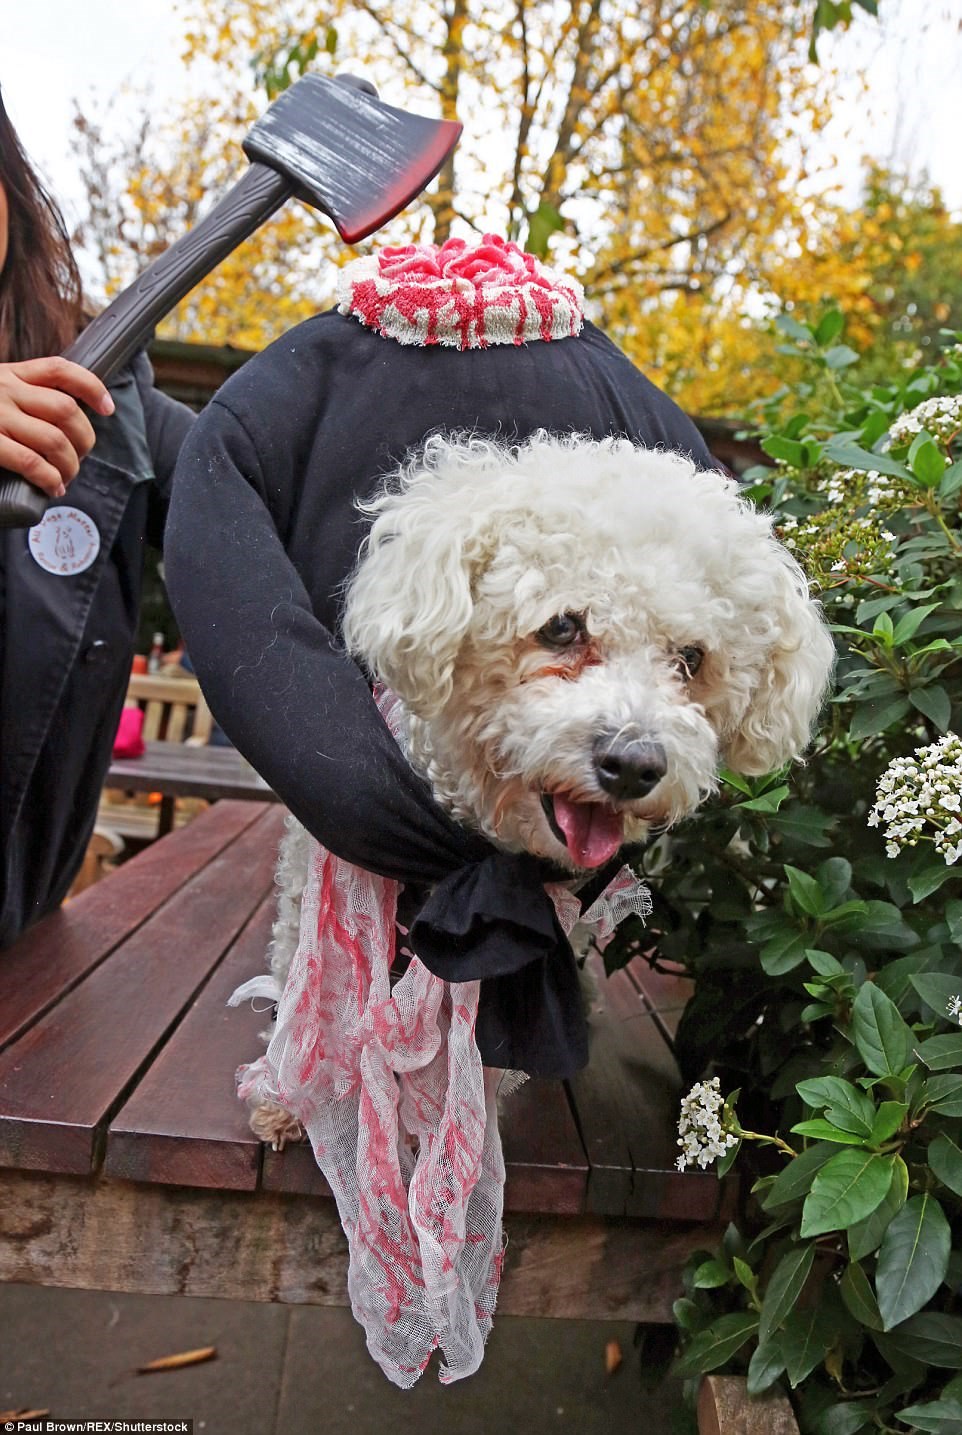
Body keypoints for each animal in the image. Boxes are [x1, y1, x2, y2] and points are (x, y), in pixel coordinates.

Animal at [241, 424, 838, 1142]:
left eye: (691, 659)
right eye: (561, 626)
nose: (634, 764)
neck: (468, 854)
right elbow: (305, 986)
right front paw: (287, 1101)